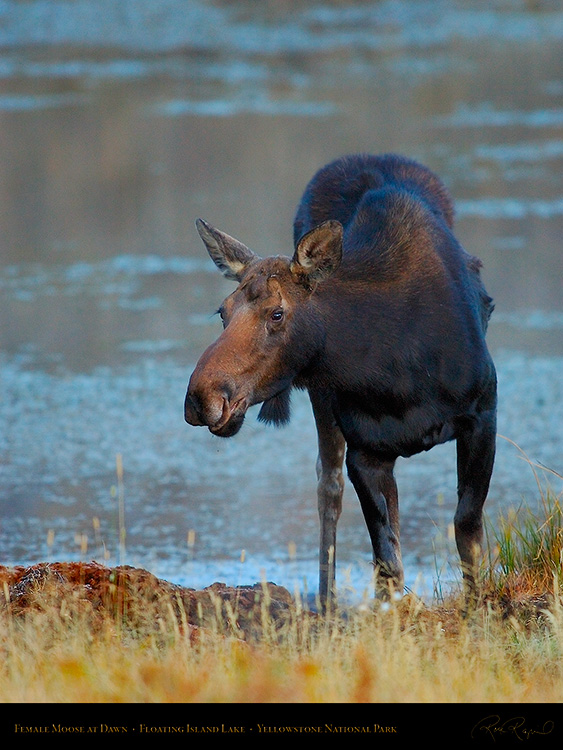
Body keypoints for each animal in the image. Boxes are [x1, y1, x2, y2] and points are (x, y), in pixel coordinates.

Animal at [185, 154, 498, 612]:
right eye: (222, 311)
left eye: (277, 313)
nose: (202, 397)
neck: (398, 371)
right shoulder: (366, 451)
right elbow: (388, 562)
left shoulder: (482, 415)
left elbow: (467, 528)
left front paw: (479, 609)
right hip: (323, 402)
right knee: (327, 489)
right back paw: (327, 603)